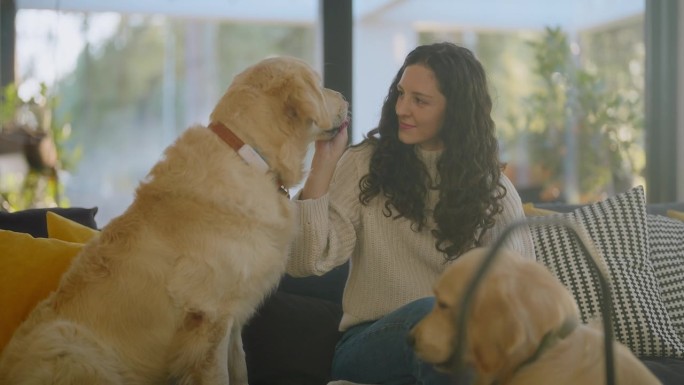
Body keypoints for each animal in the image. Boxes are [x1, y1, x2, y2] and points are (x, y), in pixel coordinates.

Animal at [0, 54, 350, 384]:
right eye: (319, 85)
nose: (346, 98)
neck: (248, 156)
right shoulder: (208, 319)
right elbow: (219, 376)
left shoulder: (233, 319)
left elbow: (240, 371)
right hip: (73, 347)